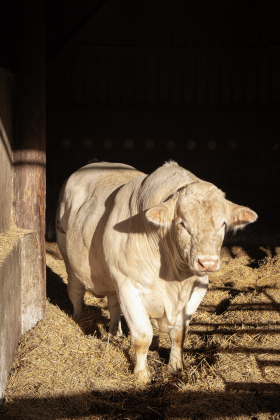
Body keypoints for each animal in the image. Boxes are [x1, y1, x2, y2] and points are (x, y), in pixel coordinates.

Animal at [55, 162, 258, 384]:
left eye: (222, 223)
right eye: (182, 223)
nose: (207, 262)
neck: (175, 276)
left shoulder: (199, 287)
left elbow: (179, 333)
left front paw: (176, 367)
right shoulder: (128, 286)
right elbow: (143, 336)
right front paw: (142, 375)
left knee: (113, 304)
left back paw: (114, 334)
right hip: (69, 260)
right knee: (75, 293)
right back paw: (79, 319)